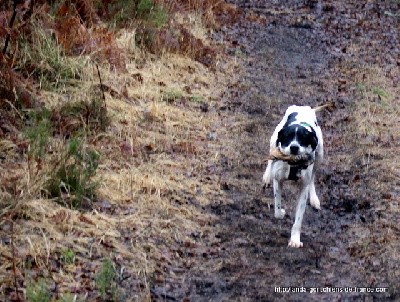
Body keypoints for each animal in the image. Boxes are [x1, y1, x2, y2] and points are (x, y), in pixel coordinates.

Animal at [264, 105, 324, 248]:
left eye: (303, 137)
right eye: (287, 136)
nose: (294, 147)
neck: (293, 163)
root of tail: (303, 107)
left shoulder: (303, 189)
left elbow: (298, 219)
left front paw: (295, 239)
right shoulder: (278, 181)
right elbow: (277, 210)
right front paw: (281, 212)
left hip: (320, 155)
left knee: (313, 177)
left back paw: (314, 198)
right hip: (273, 140)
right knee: (270, 157)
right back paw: (267, 175)